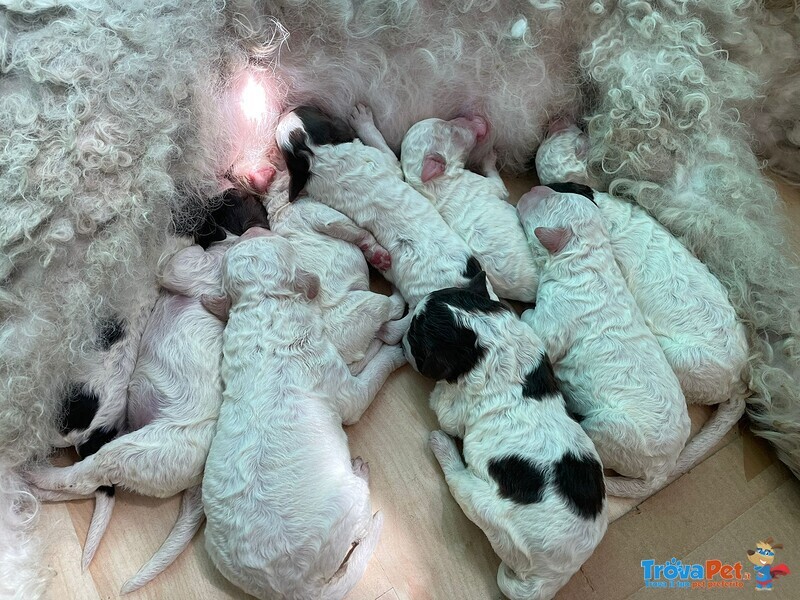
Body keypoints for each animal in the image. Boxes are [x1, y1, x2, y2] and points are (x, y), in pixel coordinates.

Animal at [25, 239, 231, 592]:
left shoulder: (195, 271)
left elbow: (178, 261)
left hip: (138, 452)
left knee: (82, 479)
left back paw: (34, 477)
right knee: (92, 484)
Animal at [202, 227, 406, 596]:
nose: (252, 228)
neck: (265, 303)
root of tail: (292, 590)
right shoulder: (344, 388)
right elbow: (371, 370)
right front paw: (395, 331)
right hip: (351, 504)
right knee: (361, 525)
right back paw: (361, 472)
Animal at [398, 116, 536, 302]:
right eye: (451, 130)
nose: (478, 118)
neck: (430, 183)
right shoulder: (487, 184)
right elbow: (497, 182)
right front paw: (489, 156)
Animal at [404, 274, 608, 600]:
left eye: (415, 338)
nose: (403, 337)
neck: (490, 338)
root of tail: (551, 577)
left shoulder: (452, 407)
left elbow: (441, 405)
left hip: (483, 502)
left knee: (456, 478)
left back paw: (441, 446)